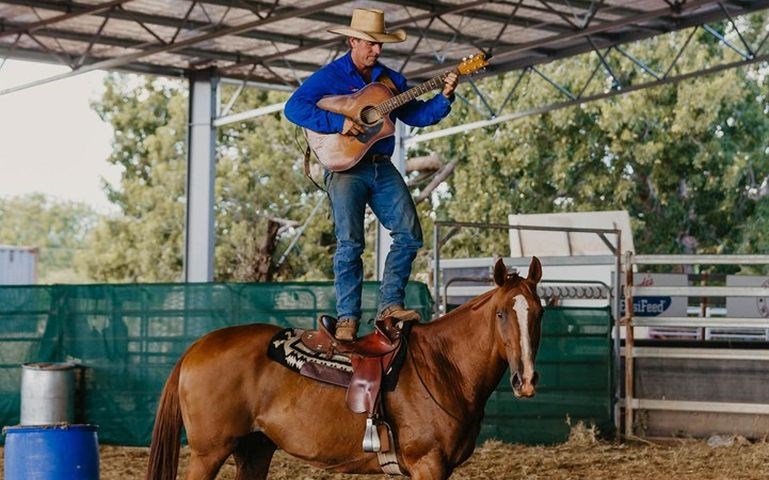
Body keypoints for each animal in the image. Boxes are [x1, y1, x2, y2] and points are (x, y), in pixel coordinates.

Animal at [144, 258, 540, 480]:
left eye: (538, 312)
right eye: (501, 314)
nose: (526, 380)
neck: (443, 365)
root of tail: (197, 347)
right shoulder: (428, 465)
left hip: (254, 450)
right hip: (208, 453)